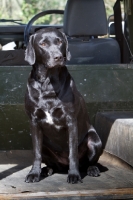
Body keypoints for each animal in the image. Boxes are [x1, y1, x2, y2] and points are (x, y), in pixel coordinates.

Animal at [25, 27, 102, 184]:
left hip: (95, 140)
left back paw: (92, 169)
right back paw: (46, 170)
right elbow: (36, 154)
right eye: (43, 44)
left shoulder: (71, 121)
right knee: (51, 162)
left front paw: (74, 175)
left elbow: (73, 153)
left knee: (89, 162)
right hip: (45, 145)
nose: (58, 57)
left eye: (59, 41)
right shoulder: (34, 122)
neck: (48, 84)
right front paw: (34, 173)